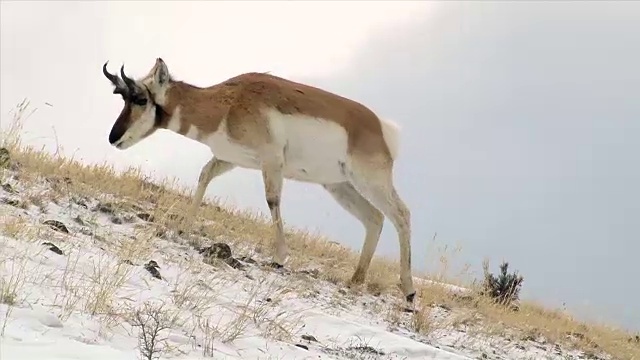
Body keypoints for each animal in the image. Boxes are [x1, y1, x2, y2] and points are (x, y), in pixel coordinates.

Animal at [103, 57, 418, 302]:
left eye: (141, 98)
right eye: (122, 97)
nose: (113, 138)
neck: (229, 102)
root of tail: (380, 125)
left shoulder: (271, 162)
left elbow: (272, 200)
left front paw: (279, 258)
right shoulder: (227, 160)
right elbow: (204, 177)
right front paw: (184, 226)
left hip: (370, 181)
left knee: (401, 214)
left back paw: (409, 291)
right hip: (340, 186)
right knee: (374, 218)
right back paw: (356, 279)